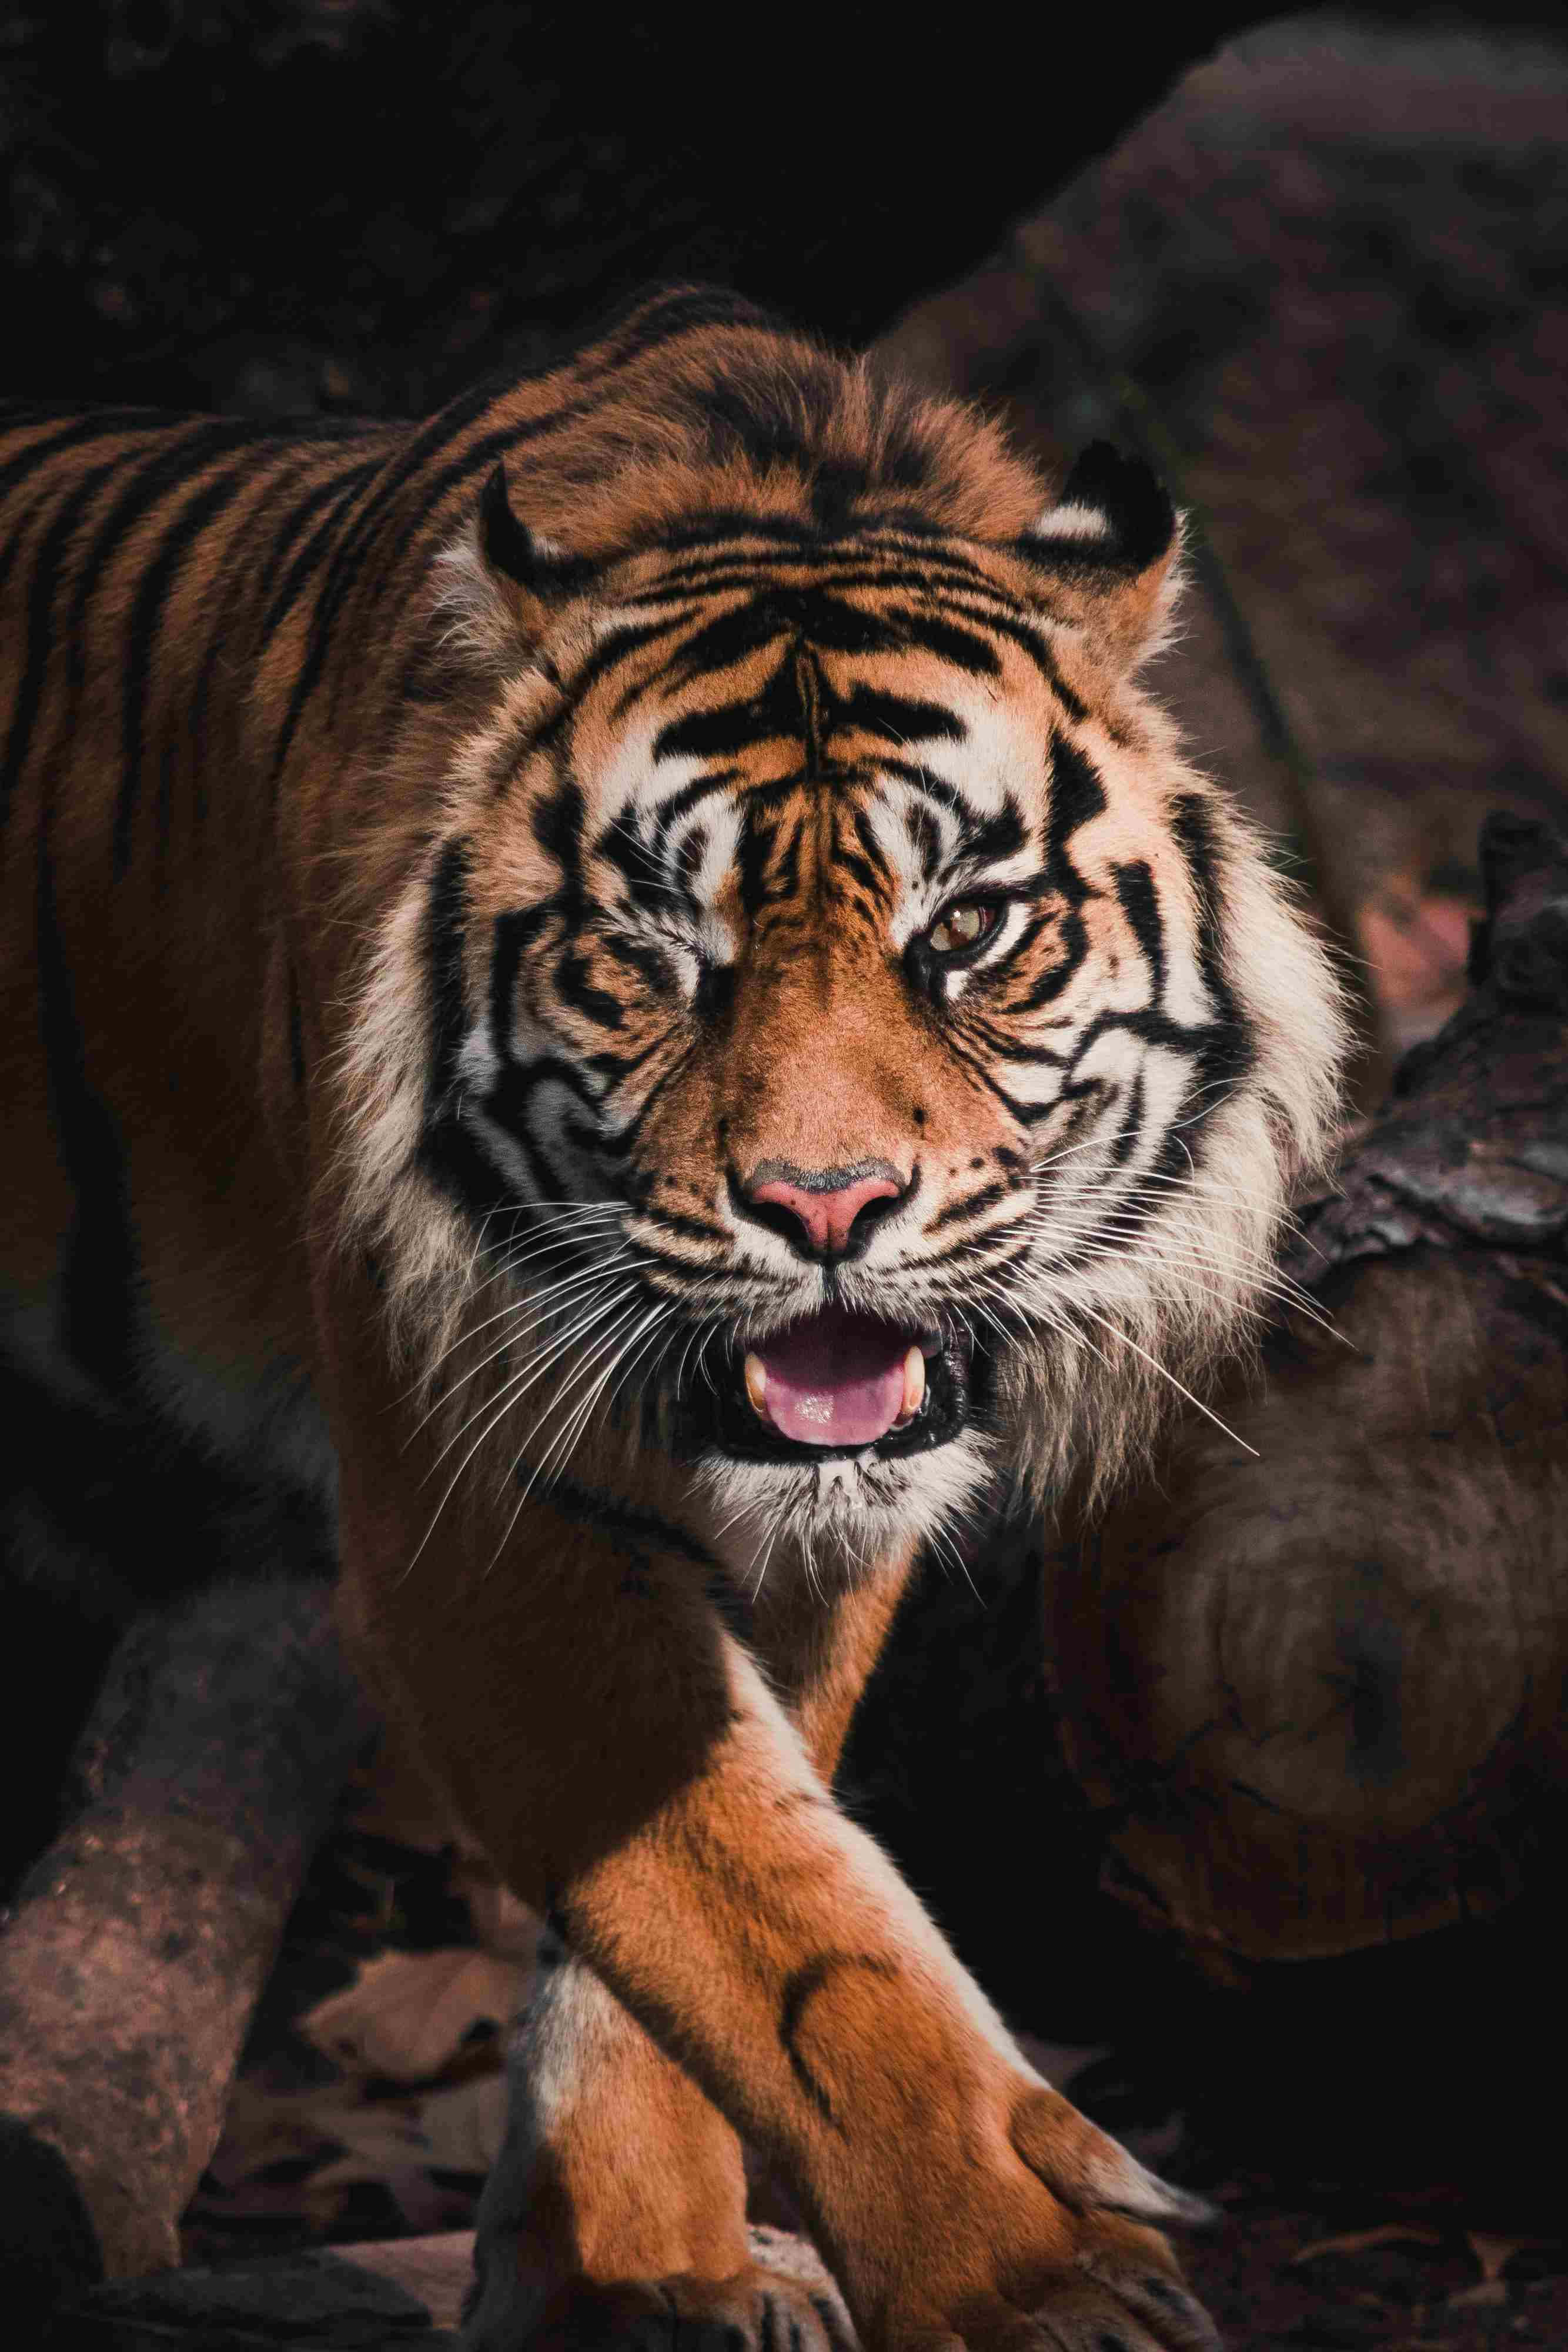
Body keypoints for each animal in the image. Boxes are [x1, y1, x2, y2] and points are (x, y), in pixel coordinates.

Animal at [0, 286, 1345, 2351]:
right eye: (653, 956)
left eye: (966, 934)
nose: (825, 1208)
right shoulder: (472, 1515)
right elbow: (772, 1925)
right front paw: (1027, 2271)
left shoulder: (799, 1545)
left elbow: (716, 1894)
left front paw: (642, 2270)